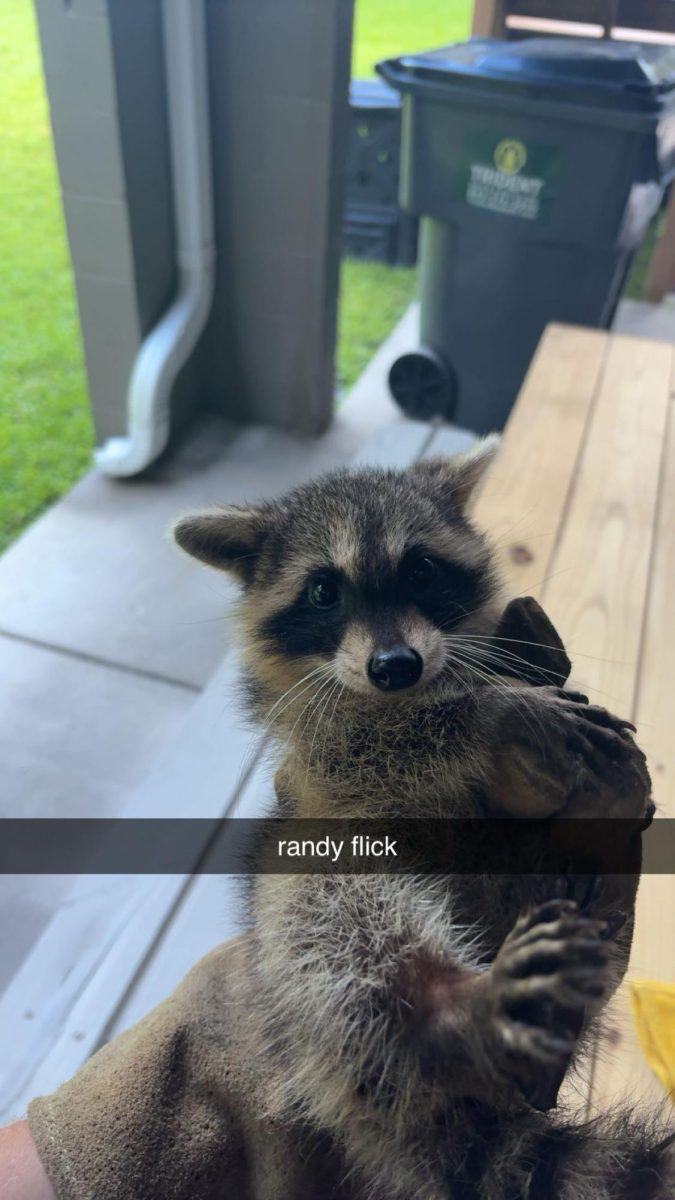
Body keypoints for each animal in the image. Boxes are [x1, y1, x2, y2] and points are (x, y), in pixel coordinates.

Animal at [173, 441, 670, 1200]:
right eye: (323, 591)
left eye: (421, 570)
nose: (394, 667)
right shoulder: (318, 750)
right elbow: (381, 745)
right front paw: (484, 714)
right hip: (312, 893)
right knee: (334, 929)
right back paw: (442, 1009)